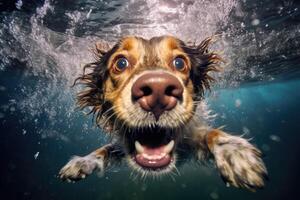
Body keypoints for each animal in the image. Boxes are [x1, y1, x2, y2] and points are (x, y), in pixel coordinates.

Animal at [58, 36, 268, 191]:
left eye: (179, 62)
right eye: (121, 63)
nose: (157, 90)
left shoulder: (191, 137)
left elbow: (211, 133)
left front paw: (234, 152)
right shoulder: (122, 145)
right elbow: (105, 149)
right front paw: (83, 162)